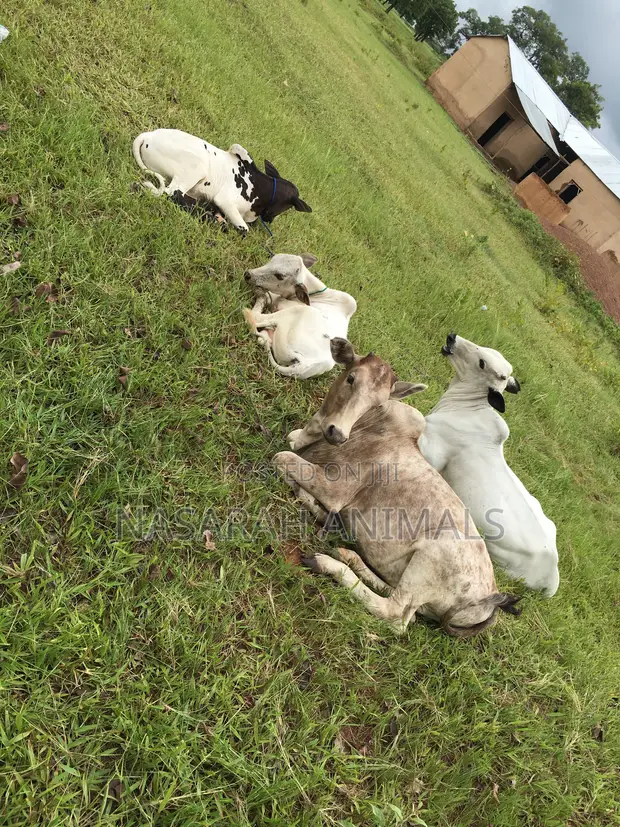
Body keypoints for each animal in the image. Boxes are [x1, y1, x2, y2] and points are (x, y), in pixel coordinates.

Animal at [132, 129, 312, 235]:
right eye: (289, 206)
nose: (270, 220)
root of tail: (148, 135)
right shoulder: (225, 200)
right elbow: (244, 229)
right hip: (196, 168)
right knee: (173, 194)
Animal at [273, 339, 521, 637]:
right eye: (351, 378)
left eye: (378, 403)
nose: (337, 433)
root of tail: (490, 600)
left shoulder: (337, 490)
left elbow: (281, 458)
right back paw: (348, 552)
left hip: (429, 561)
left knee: (397, 616)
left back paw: (327, 562)